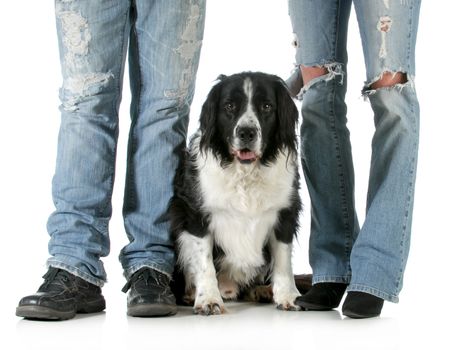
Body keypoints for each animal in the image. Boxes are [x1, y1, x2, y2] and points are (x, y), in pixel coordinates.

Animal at [169, 72, 302, 316]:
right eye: (229, 106)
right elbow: (204, 262)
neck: (245, 173)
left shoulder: (285, 212)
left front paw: (288, 295)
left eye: (267, 106)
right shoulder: (194, 213)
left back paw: (262, 290)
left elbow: (282, 259)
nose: (246, 132)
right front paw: (208, 299)